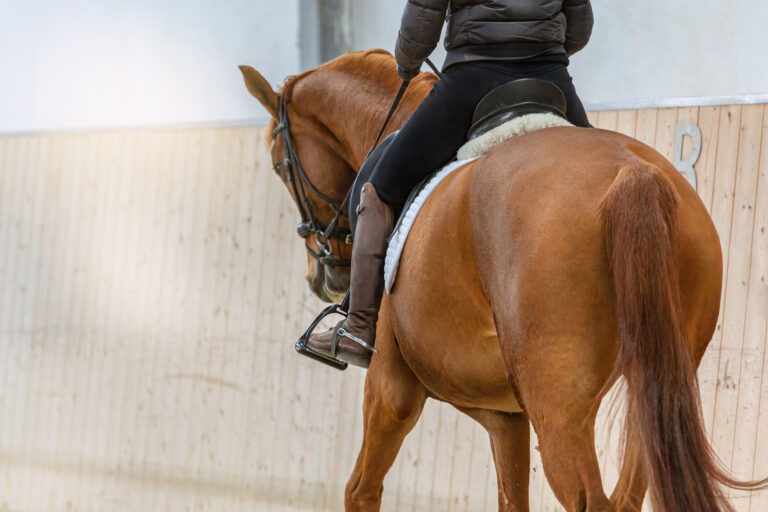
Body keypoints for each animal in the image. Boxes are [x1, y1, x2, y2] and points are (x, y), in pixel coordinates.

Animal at [240, 49, 766, 511]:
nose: (323, 275)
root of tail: (631, 173)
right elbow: (512, 499)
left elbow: (360, 491)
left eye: (280, 166)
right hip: (654, 392)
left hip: (561, 410)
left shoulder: (391, 391)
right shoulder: (506, 415)